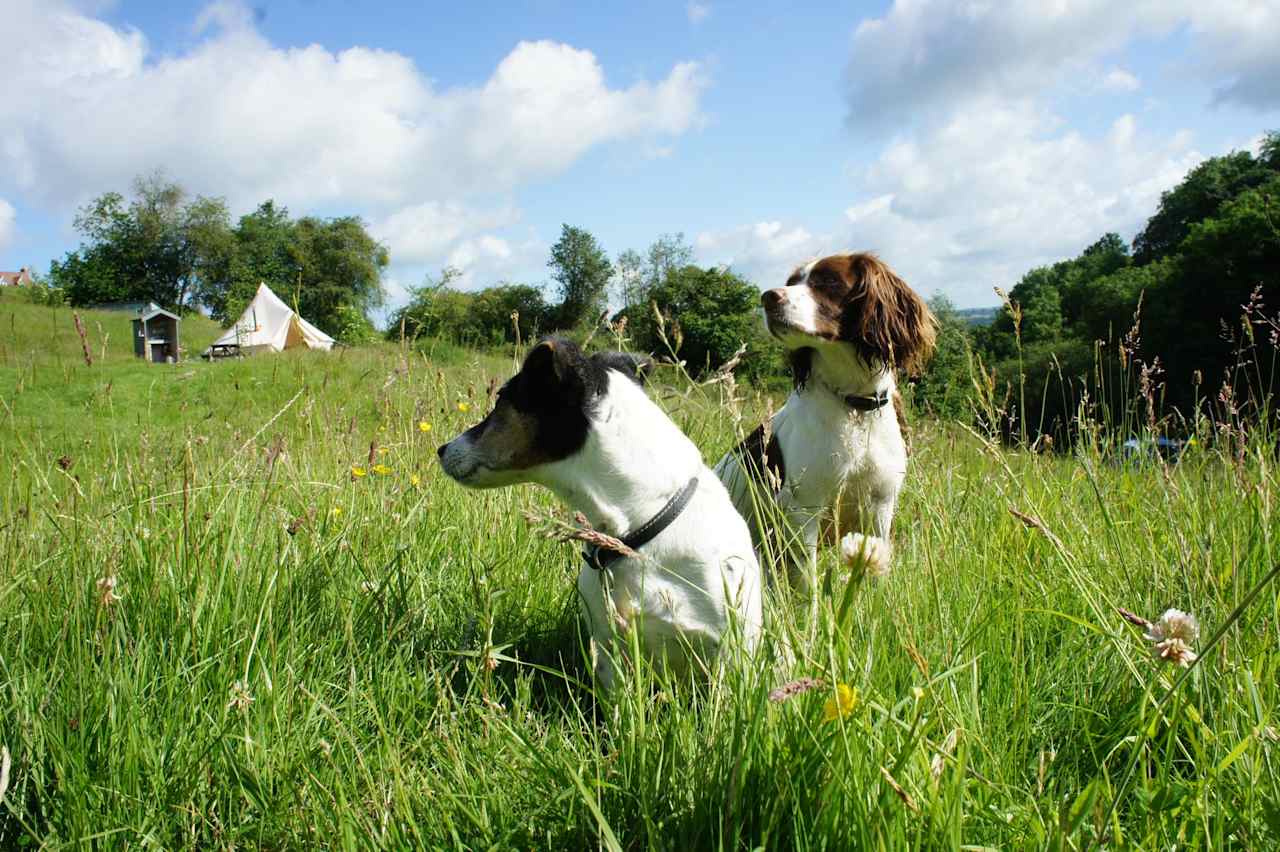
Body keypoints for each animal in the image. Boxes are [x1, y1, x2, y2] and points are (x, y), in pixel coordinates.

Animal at [716, 249, 936, 588]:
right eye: (791, 282)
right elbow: (808, 582)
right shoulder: (805, 506)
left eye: (828, 281)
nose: (767, 297)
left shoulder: (882, 502)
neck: (854, 407)